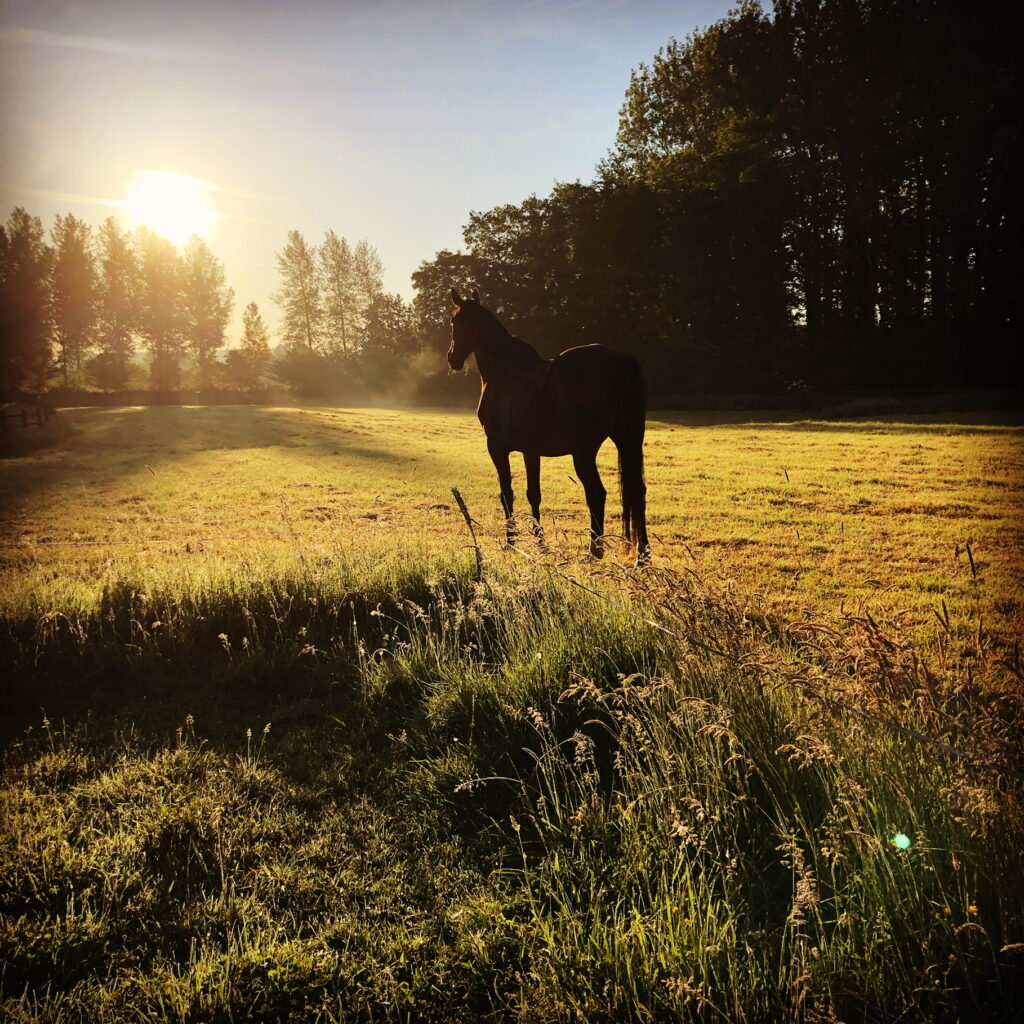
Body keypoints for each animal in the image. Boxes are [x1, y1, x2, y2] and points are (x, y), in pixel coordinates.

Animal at [446, 288, 647, 565]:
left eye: (454, 321)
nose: (451, 358)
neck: (504, 372)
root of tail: (619, 361)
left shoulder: (496, 447)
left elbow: (506, 493)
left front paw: (511, 543)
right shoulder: (531, 451)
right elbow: (534, 494)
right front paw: (540, 543)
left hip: (584, 452)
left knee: (597, 493)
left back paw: (594, 551)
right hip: (628, 441)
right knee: (638, 491)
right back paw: (643, 556)